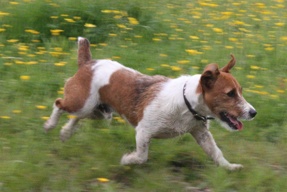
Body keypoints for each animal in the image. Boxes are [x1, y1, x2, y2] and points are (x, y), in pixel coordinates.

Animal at [44, 36, 256, 170]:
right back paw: (50, 125)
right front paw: (127, 160)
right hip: (82, 102)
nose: (253, 112)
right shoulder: (143, 132)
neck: (186, 103)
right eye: (230, 94)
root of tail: (88, 62)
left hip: (96, 110)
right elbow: (141, 156)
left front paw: (229, 167)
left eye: (240, 91)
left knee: (75, 117)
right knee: (59, 104)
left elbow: (216, 153)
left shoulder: (201, 134)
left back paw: (66, 132)